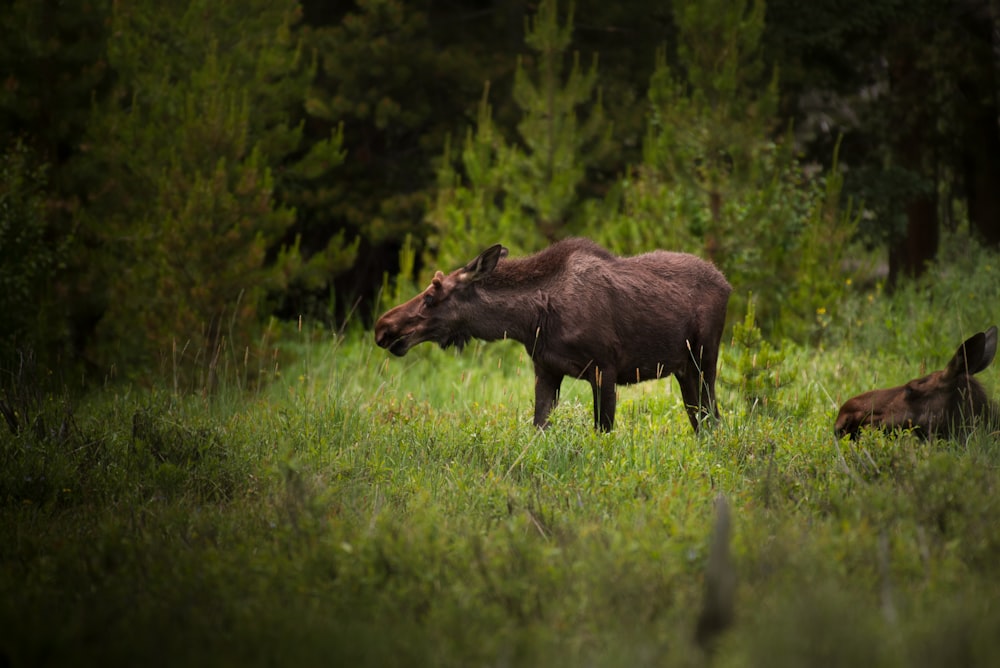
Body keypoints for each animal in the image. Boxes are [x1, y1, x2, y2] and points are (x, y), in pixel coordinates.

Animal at [372, 237, 732, 430]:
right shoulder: (545, 369)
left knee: (713, 418)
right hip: (684, 369)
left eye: (431, 296)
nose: (384, 328)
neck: (531, 320)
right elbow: (538, 427)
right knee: (701, 421)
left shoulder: (605, 369)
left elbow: (603, 431)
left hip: (704, 360)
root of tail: (727, 284)